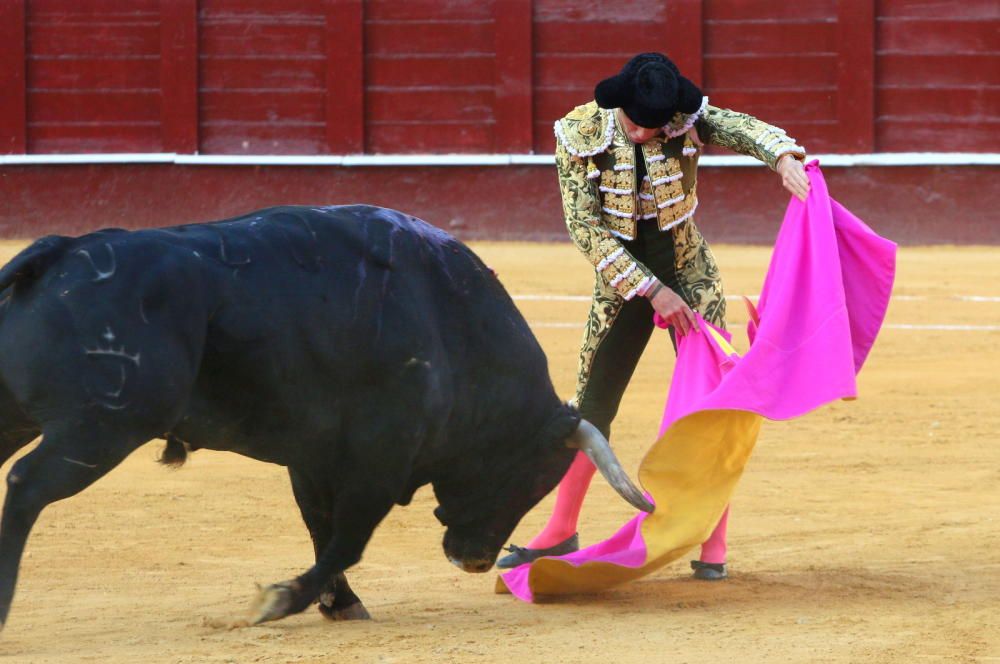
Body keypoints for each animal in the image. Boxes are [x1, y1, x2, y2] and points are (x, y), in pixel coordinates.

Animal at [0, 206, 648, 628]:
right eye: (529, 478)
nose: (475, 560)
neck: (449, 321)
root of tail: (59, 252)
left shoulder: (313, 458)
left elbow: (321, 528)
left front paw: (339, 603)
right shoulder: (379, 459)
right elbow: (347, 538)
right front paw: (280, 601)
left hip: (32, 417)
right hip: (103, 428)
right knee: (26, 485)